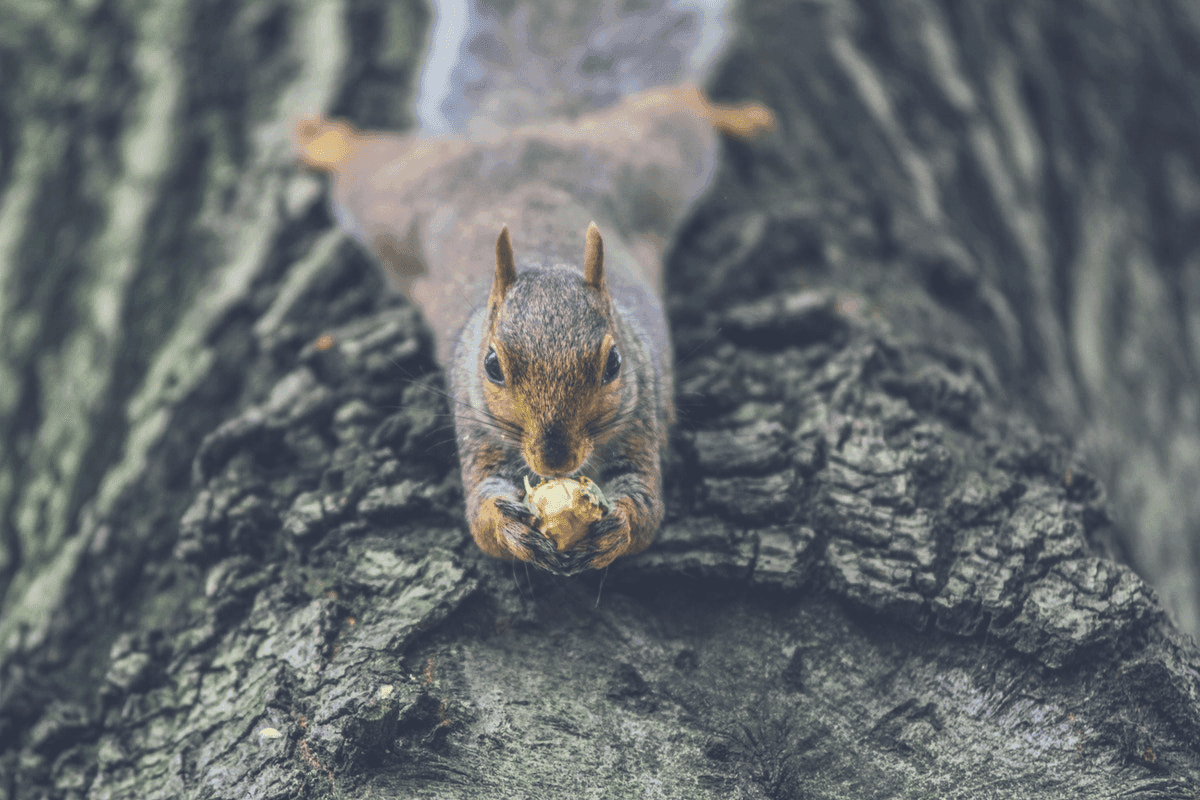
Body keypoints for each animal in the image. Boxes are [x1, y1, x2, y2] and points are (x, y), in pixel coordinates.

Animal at [294, 2, 772, 574]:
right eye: (492, 366)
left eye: (613, 364)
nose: (555, 459)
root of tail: (525, 134)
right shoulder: (477, 428)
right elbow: (480, 516)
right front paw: (509, 528)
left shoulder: (641, 418)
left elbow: (647, 507)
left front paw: (616, 528)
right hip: (399, 199)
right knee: (363, 166)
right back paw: (323, 138)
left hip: (651, 162)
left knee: (680, 107)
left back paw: (738, 115)